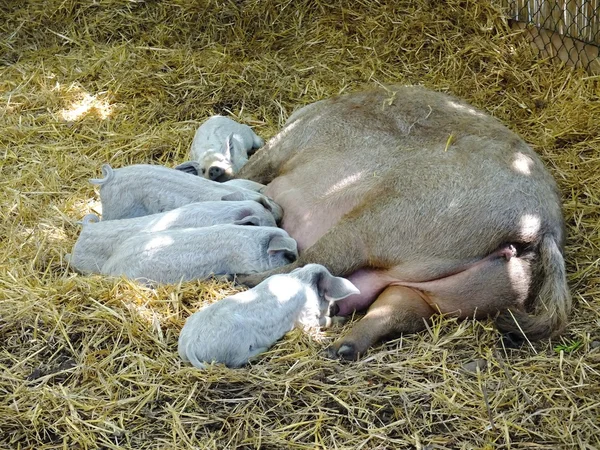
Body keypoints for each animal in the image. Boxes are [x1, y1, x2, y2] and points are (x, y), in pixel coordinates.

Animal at [177, 266, 356, 368]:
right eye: (326, 296)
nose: (336, 308)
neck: (302, 280)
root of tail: (189, 345)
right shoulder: (306, 318)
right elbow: (320, 323)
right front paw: (341, 319)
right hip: (237, 346)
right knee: (238, 361)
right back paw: (264, 348)